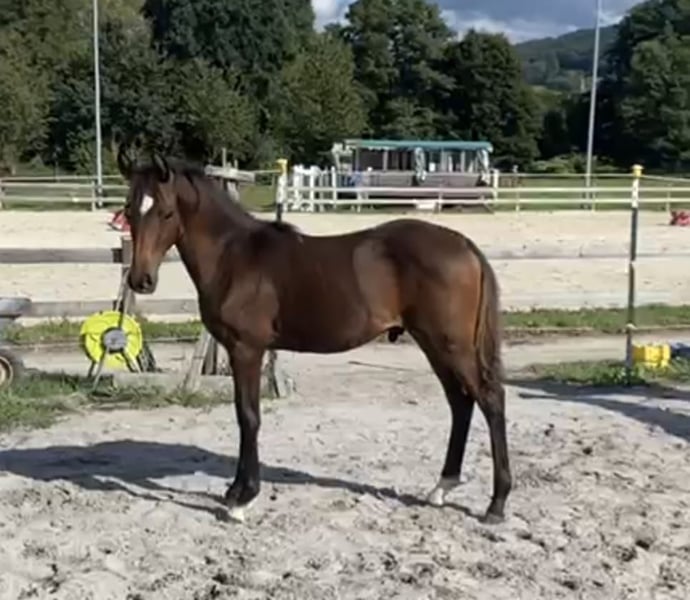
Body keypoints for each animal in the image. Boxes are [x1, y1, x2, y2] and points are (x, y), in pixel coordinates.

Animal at [116, 148, 512, 524]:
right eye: (130, 210)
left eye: (166, 212)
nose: (141, 280)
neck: (234, 257)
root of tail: (465, 245)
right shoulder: (237, 350)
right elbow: (244, 414)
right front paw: (234, 492)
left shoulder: (247, 349)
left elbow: (249, 416)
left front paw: (243, 500)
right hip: (435, 344)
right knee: (460, 402)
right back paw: (442, 487)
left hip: (451, 344)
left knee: (489, 399)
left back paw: (497, 503)